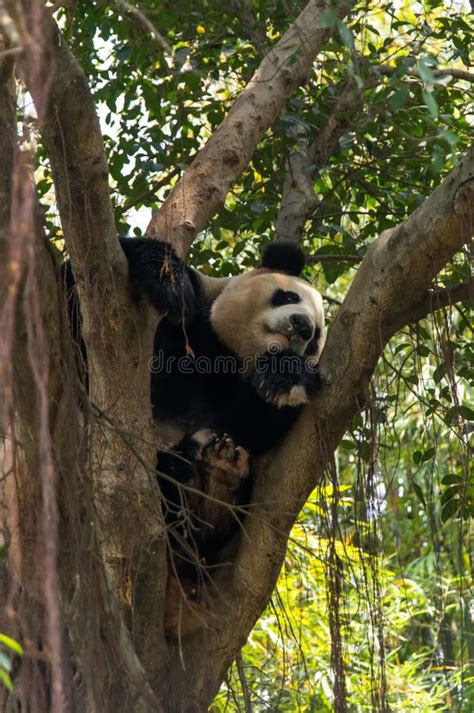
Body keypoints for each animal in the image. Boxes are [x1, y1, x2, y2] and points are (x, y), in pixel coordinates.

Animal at [62, 238, 326, 636]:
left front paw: (283, 375)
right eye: (287, 296)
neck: (226, 351)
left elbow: (255, 422)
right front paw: (170, 284)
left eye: (315, 341)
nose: (303, 326)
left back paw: (211, 476)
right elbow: (77, 293)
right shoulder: (190, 322)